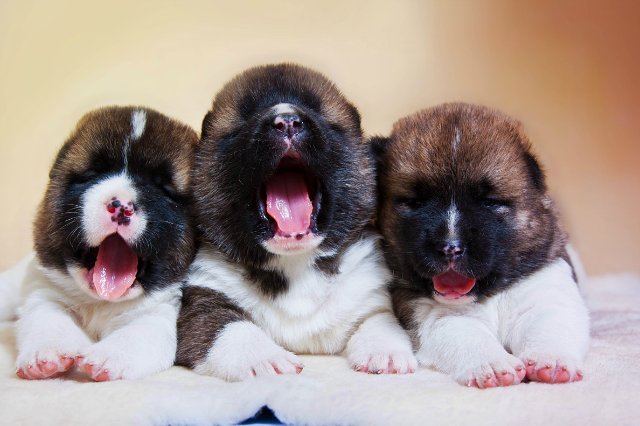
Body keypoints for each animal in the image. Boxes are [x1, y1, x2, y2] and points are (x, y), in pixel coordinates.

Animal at [15, 106, 198, 381]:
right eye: (92, 175)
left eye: (164, 190)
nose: (121, 206)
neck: (101, 301)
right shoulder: (45, 293)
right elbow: (48, 318)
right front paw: (47, 354)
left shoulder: (159, 314)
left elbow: (136, 336)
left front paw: (106, 358)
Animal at [176, 63, 416, 381]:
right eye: (245, 117)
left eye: (316, 111)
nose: (287, 121)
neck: (294, 263)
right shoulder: (204, 300)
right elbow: (230, 328)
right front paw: (265, 359)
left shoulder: (367, 295)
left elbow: (379, 320)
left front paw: (386, 353)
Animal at [372, 103, 590, 388]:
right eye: (414, 202)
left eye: (490, 202)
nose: (450, 247)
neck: (490, 294)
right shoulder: (435, 314)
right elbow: (469, 337)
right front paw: (493, 365)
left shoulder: (547, 291)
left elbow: (548, 325)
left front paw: (551, 361)